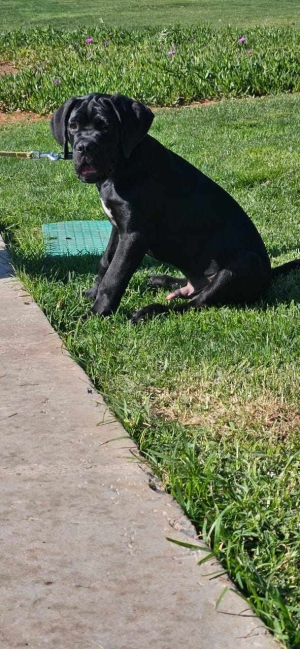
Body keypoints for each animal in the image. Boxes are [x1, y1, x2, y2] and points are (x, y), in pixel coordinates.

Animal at [51, 93, 300, 322]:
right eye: (73, 126)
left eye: (106, 126)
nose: (84, 147)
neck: (123, 166)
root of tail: (268, 275)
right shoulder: (118, 227)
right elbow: (105, 261)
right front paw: (92, 293)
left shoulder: (134, 235)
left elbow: (115, 276)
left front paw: (96, 313)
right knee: (191, 291)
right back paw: (161, 280)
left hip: (241, 264)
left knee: (196, 302)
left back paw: (152, 311)